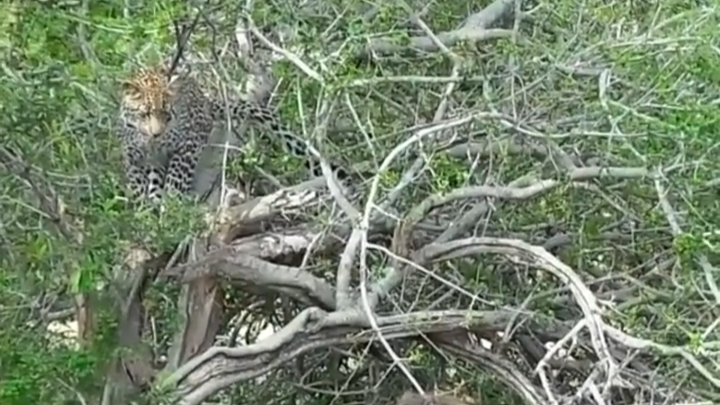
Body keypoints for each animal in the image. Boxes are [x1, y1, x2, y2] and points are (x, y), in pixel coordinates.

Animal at [116, 61, 347, 204]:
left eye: (167, 114)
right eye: (145, 114)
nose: (156, 135)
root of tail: (204, 97)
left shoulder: (190, 143)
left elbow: (176, 178)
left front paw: (171, 206)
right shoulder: (132, 158)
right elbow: (138, 187)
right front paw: (146, 213)